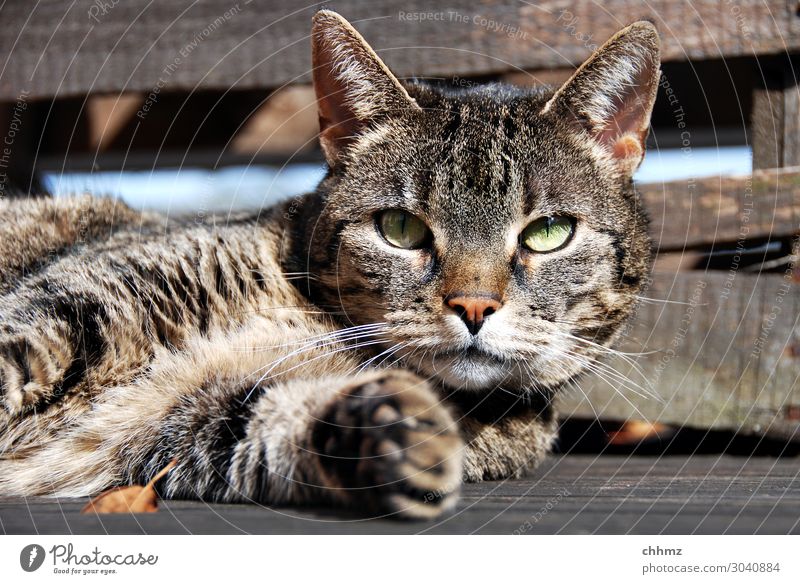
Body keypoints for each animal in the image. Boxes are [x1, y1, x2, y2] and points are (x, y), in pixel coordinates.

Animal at [0, 11, 660, 516]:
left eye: (548, 233)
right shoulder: (59, 312)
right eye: (399, 228)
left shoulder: (182, 422)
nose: (474, 307)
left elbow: (270, 425)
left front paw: (398, 428)